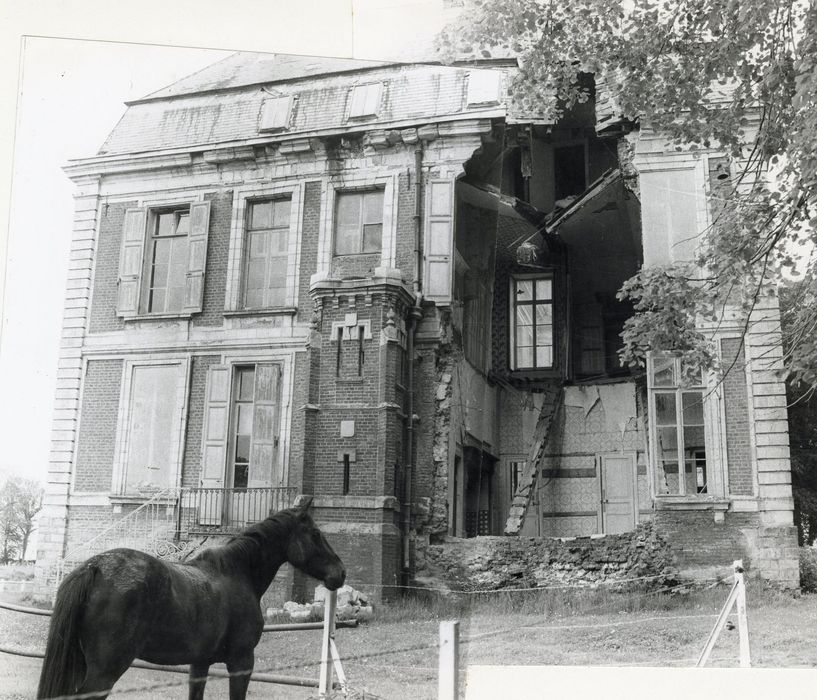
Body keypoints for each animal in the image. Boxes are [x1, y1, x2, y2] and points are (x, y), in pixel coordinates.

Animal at [35, 498, 344, 700]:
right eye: (316, 533)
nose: (340, 573)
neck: (238, 573)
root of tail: (95, 566)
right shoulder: (242, 663)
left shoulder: (200, 664)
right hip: (104, 673)